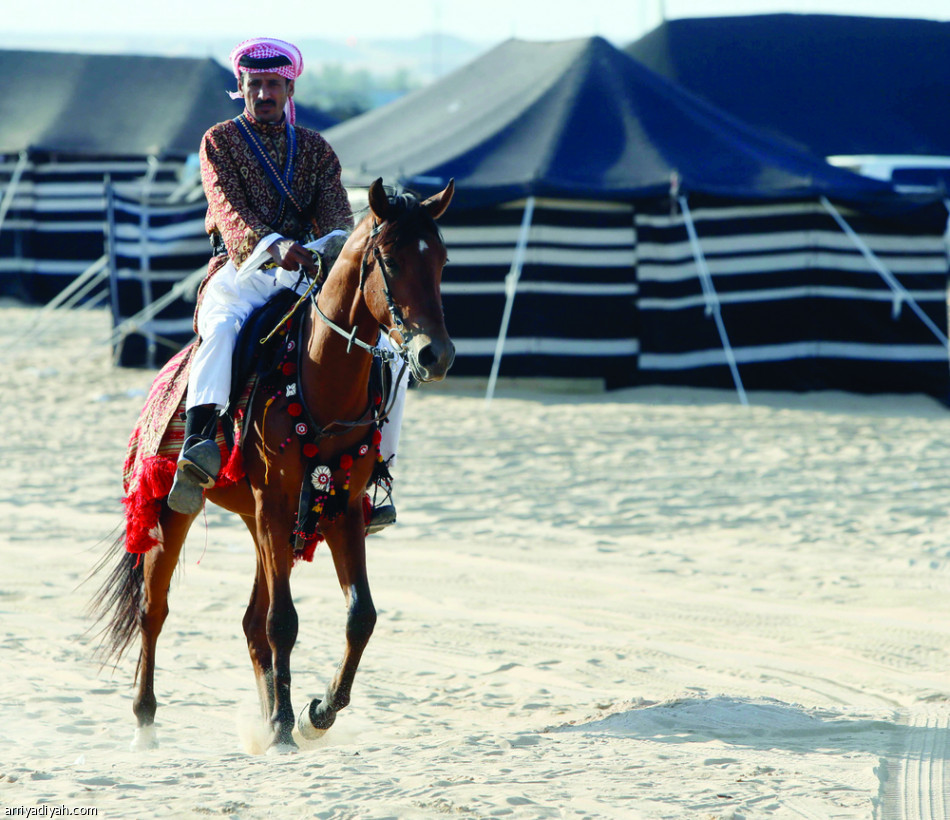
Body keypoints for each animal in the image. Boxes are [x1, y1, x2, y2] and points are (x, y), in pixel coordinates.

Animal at [94, 178, 458, 748]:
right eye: (392, 261)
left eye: (441, 260)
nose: (434, 355)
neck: (320, 377)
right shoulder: (276, 502)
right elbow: (283, 621)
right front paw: (289, 725)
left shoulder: (341, 508)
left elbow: (360, 616)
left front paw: (316, 713)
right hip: (180, 513)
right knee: (155, 611)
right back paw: (147, 723)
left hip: (260, 521)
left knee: (249, 621)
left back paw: (266, 716)